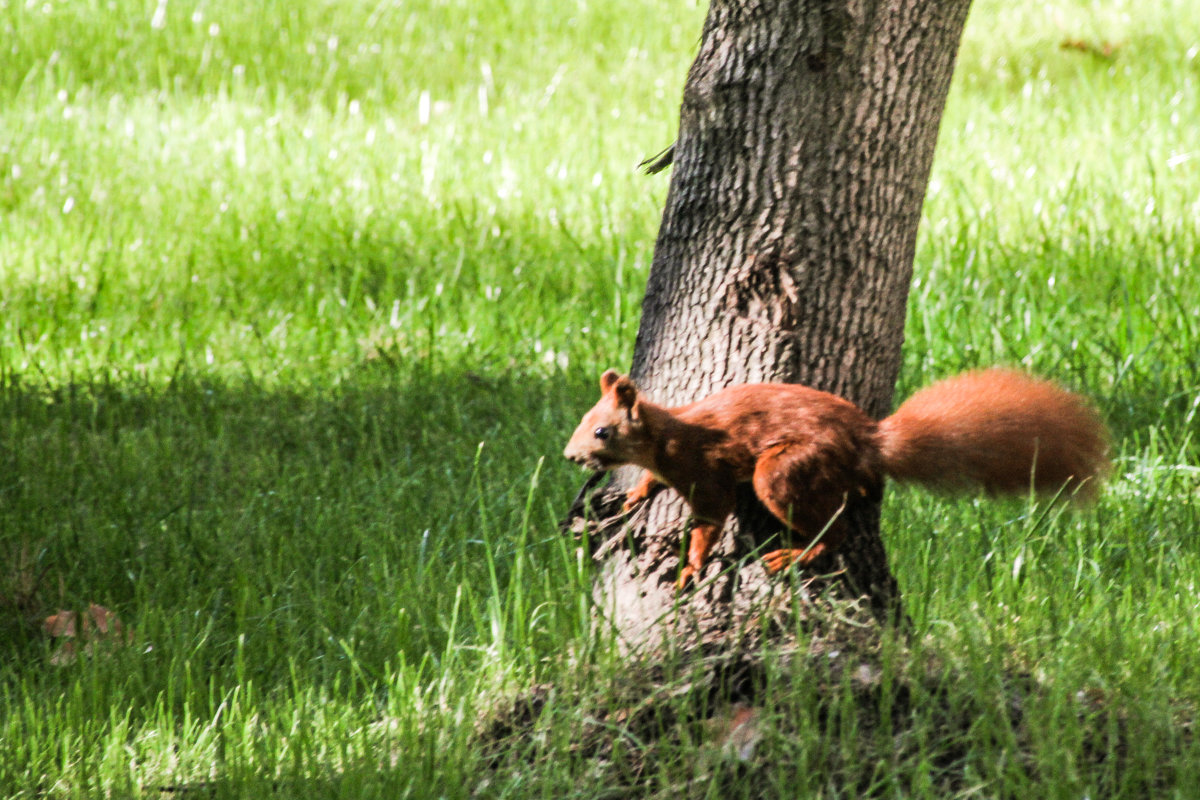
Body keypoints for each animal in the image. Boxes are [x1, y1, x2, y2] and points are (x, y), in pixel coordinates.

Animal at [561, 369, 1104, 587]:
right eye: (584, 418)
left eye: (602, 430)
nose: (570, 456)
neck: (667, 437)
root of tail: (869, 442)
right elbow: (652, 484)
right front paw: (635, 496)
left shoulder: (705, 473)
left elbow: (710, 520)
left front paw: (692, 566)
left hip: (782, 473)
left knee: (835, 529)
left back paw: (797, 554)